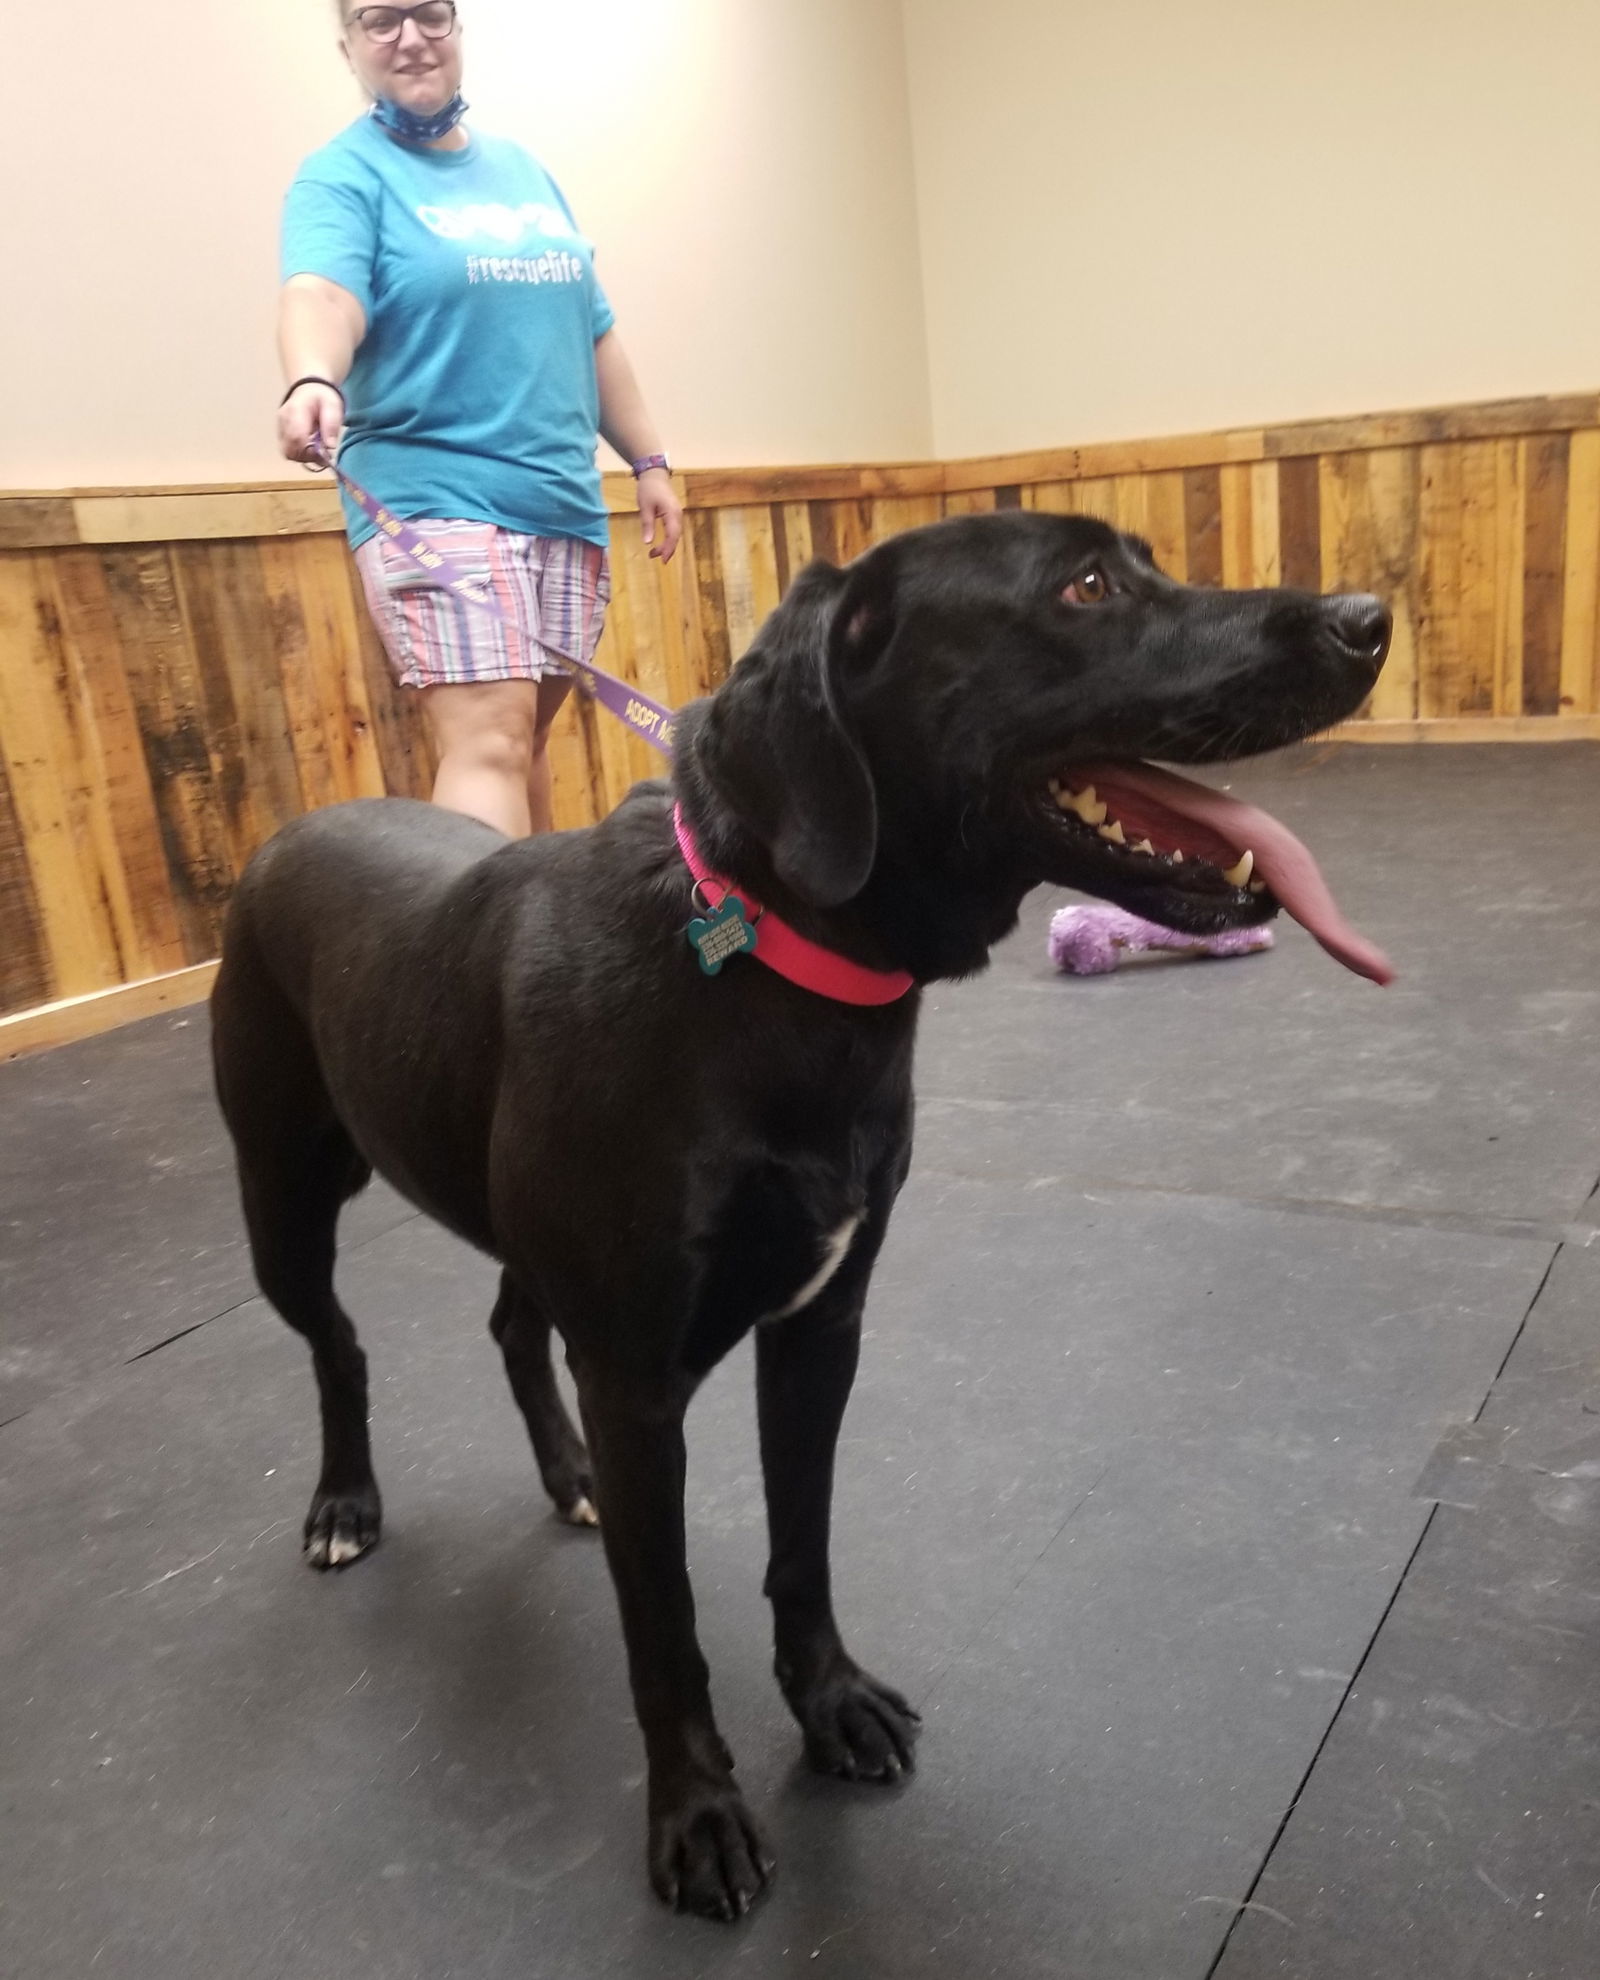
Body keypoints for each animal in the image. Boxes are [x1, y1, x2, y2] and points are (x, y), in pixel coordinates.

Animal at [212, 510, 1386, 1916]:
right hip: (283, 1202)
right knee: (339, 1345)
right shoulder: (637, 1384)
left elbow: (802, 1547)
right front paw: (696, 1812)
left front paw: (827, 1705)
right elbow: (663, 1627)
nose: (1370, 618)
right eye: (1086, 586)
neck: (766, 958)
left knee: (506, 1326)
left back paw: (565, 1477)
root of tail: (285, 834)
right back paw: (347, 1504)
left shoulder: (822, 1328)